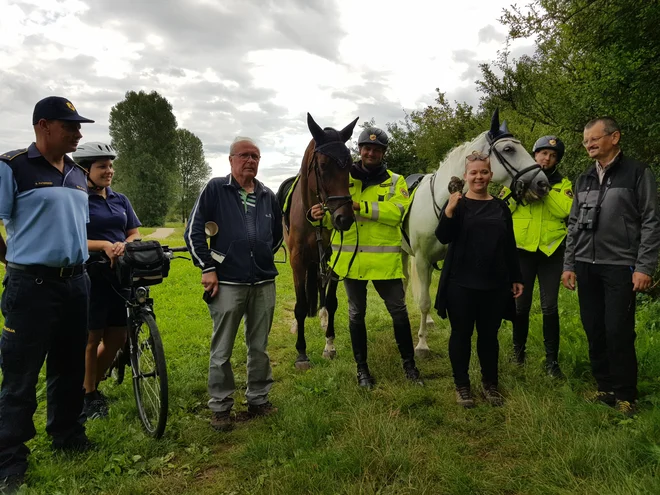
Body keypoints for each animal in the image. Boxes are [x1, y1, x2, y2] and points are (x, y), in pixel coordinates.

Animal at [282, 112, 358, 368]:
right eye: (323, 166)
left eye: (351, 166)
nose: (344, 218)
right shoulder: (298, 261)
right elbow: (300, 305)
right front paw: (301, 353)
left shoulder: (334, 259)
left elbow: (332, 302)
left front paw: (330, 345)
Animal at [402, 109, 552, 356]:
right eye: (509, 149)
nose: (542, 184)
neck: (442, 204)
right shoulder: (422, 260)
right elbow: (424, 301)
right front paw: (422, 345)